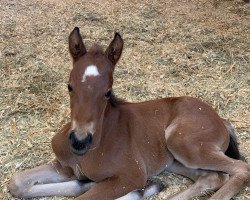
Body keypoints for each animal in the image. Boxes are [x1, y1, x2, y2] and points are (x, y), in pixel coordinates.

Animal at [9, 27, 250, 200]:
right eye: (69, 86)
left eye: (108, 92)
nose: (79, 141)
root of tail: (221, 119)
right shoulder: (64, 167)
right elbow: (17, 182)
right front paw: (86, 183)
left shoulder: (131, 176)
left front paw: (138, 191)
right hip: (173, 159)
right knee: (212, 177)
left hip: (185, 143)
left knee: (240, 169)